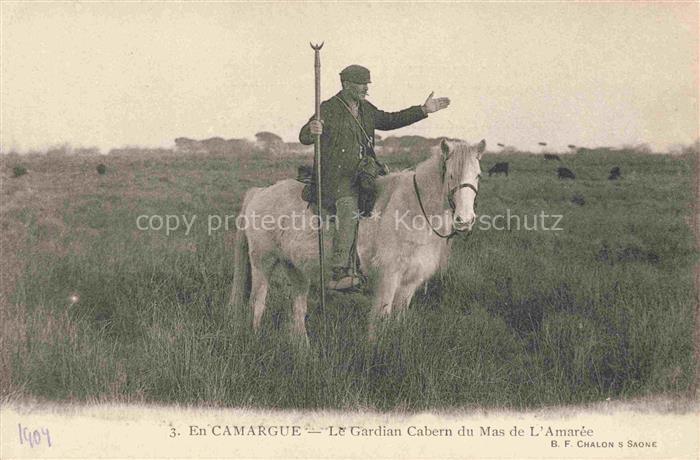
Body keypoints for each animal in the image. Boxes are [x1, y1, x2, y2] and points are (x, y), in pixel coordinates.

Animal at [229, 139, 485, 340]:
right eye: (451, 174)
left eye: (478, 175)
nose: (464, 220)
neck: (412, 211)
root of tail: (260, 192)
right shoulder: (388, 279)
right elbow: (380, 320)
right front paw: (374, 355)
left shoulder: (409, 284)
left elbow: (398, 320)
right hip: (262, 263)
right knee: (257, 304)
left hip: (296, 269)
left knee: (298, 310)